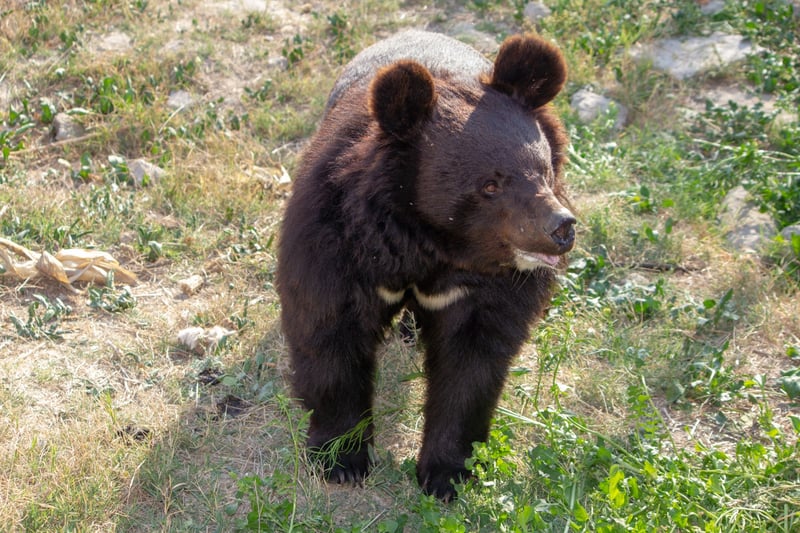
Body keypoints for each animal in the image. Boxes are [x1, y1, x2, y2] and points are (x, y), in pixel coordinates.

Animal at [276, 31, 576, 500]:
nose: (561, 228)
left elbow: (471, 363)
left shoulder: (490, 289)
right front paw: (340, 461)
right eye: (490, 185)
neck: (430, 243)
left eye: (543, 171)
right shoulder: (336, 239)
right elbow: (328, 333)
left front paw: (445, 475)